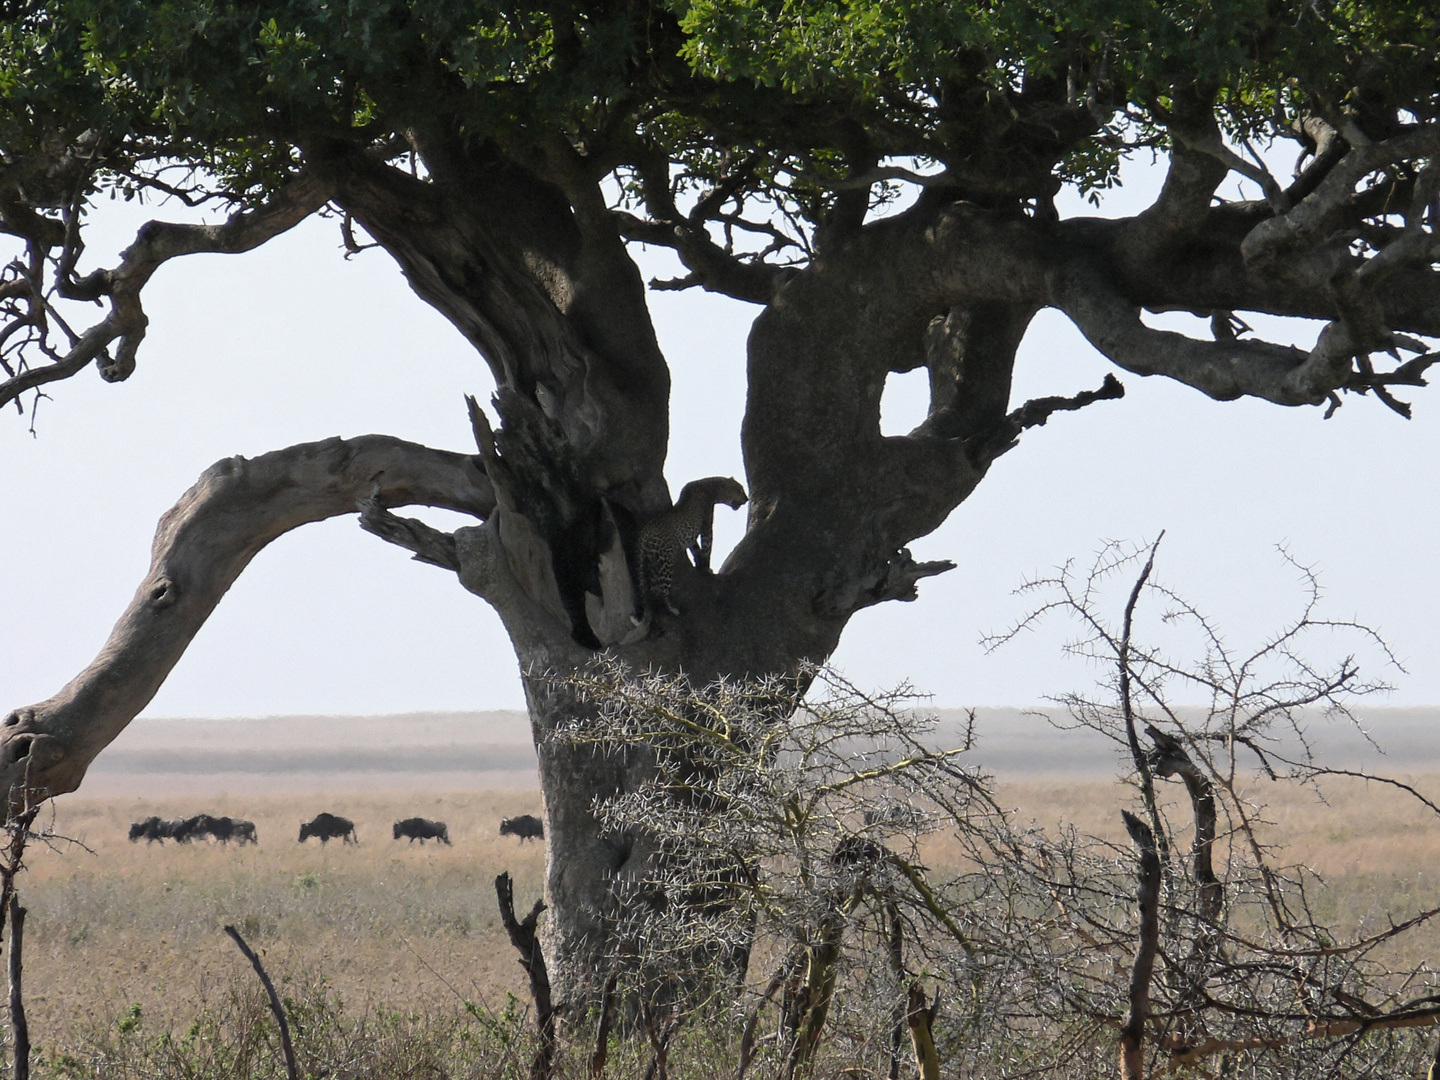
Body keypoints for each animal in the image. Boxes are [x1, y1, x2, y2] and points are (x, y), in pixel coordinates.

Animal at [633, 478, 748, 622]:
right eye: (739, 489)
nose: (747, 499)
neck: (712, 487)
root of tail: (645, 529)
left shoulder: (691, 537)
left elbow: (696, 549)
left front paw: (699, 564)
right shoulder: (706, 527)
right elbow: (707, 549)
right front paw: (706, 568)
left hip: (652, 558)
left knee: (653, 588)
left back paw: (659, 609)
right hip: (665, 560)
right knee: (662, 589)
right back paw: (671, 609)